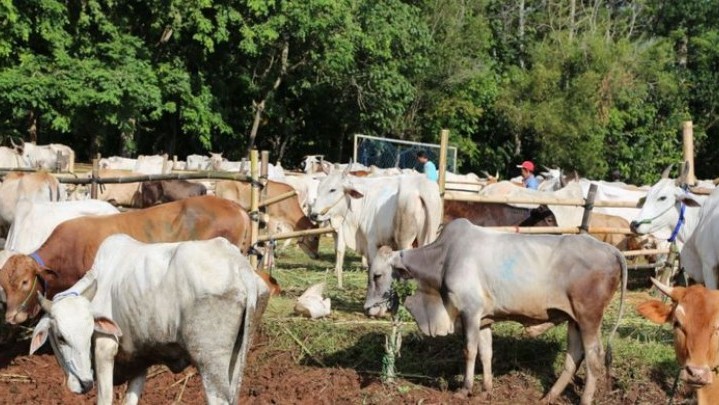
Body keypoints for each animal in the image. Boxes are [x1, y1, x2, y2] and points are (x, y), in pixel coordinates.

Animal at [28, 234, 270, 404]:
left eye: (89, 334)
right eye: (61, 337)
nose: (85, 383)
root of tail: (241, 268)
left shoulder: (105, 348)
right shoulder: (140, 360)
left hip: (210, 363)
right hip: (236, 359)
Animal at [310, 166, 442, 288]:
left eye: (333, 189)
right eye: (319, 188)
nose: (313, 215)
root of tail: (422, 188)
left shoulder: (372, 243)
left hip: (405, 242)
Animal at [366, 218, 624, 404]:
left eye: (377, 275)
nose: (368, 308)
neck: (444, 257)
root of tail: (611, 250)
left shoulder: (469, 312)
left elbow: (469, 351)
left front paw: (465, 389)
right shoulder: (484, 319)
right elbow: (486, 353)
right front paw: (486, 389)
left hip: (589, 317)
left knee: (594, 357)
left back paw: (584, 399)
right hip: (574, 319)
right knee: (574, 356)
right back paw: (549, 396)